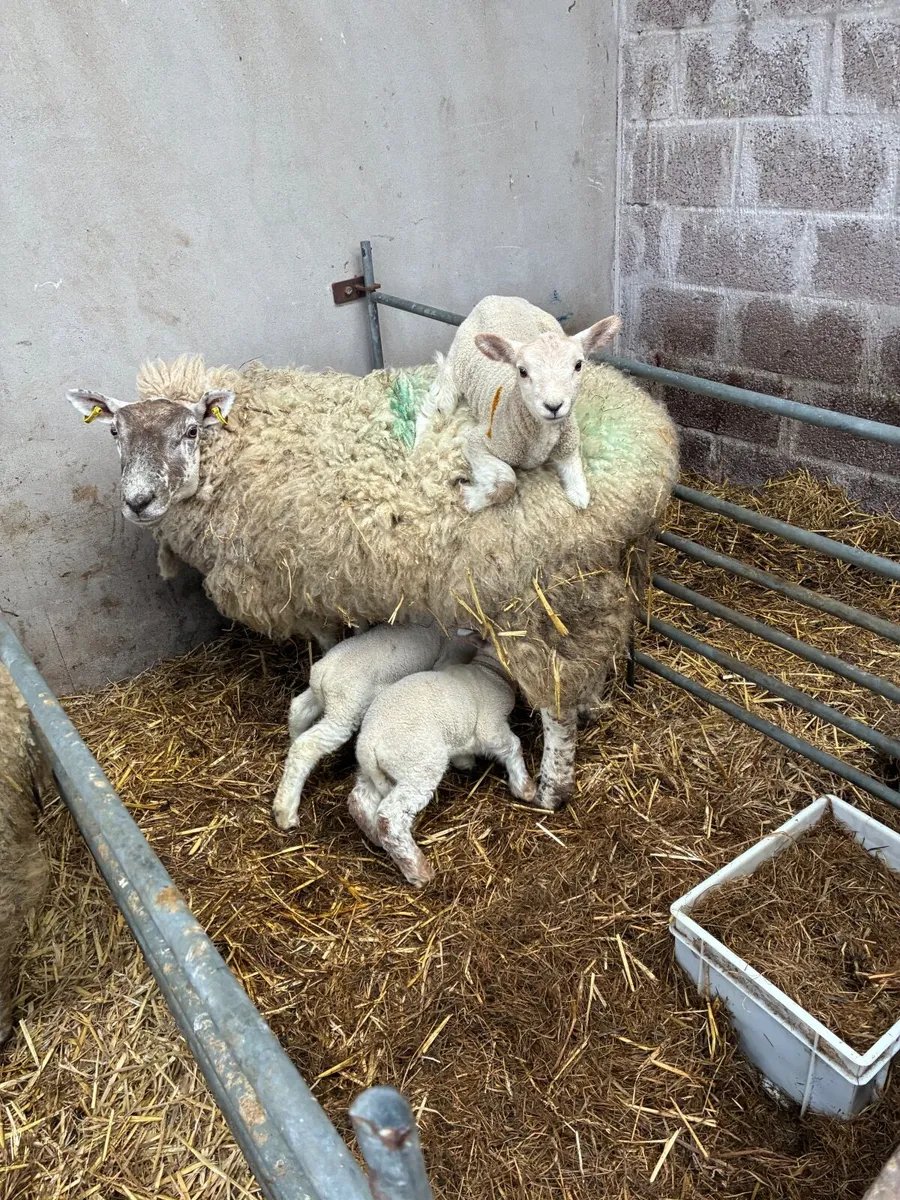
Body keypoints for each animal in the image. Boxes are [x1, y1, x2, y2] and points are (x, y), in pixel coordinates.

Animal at [272, 615, 450, 831]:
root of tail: (323, 672)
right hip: (345, 709)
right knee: (307, 746)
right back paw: (285, 811)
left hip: (325, 701)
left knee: (298, 710)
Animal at [349, 638, 534, 886]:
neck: (488, 669)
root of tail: (368, 744)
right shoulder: (491, 727)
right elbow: (514, 746)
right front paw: (525, 788)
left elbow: (462, 753)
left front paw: (466, 764)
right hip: (419, 764)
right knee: (390, 818)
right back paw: (418, 871)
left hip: (374, 770)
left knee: (359, 800)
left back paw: (376, 839)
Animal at [414, 296, 622, 513]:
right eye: (522, 371)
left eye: (578, 365)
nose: (553, 406)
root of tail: (497, 298)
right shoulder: (477, 441)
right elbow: (507, 481)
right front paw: (472, 498)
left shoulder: (568, 442)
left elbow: (579, 486)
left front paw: (578, 496)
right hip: (454, 368)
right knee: (434, 406)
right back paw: (421, 444)